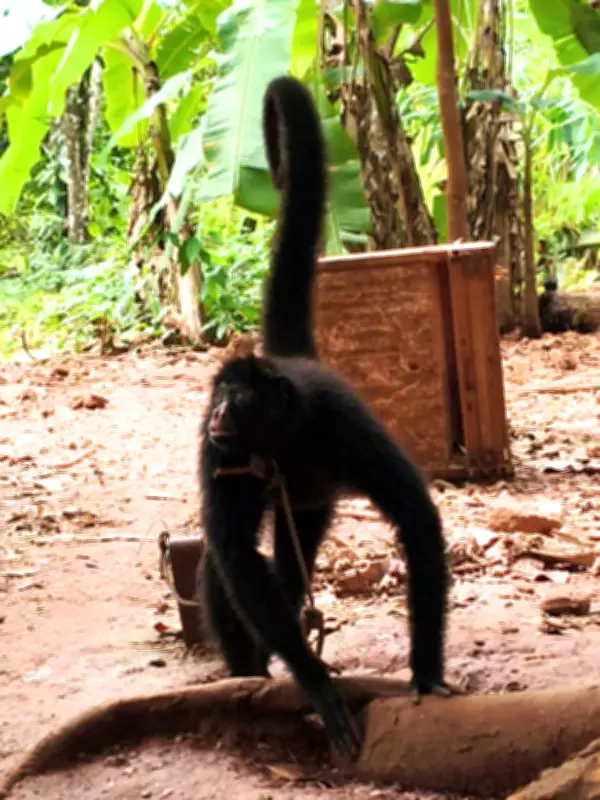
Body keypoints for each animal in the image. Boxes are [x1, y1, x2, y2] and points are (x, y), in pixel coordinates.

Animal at [199, 75, 452, 761]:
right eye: (219, 395)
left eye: (239, 398)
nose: (220, 412)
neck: (285, 438)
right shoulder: (218, 449)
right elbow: (234, 556)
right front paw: (314, 683)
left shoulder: (342, 424)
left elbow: (416, 517)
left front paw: (425, 672)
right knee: (232, 565)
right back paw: (249, 672)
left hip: (312, 499)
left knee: (291, 557)